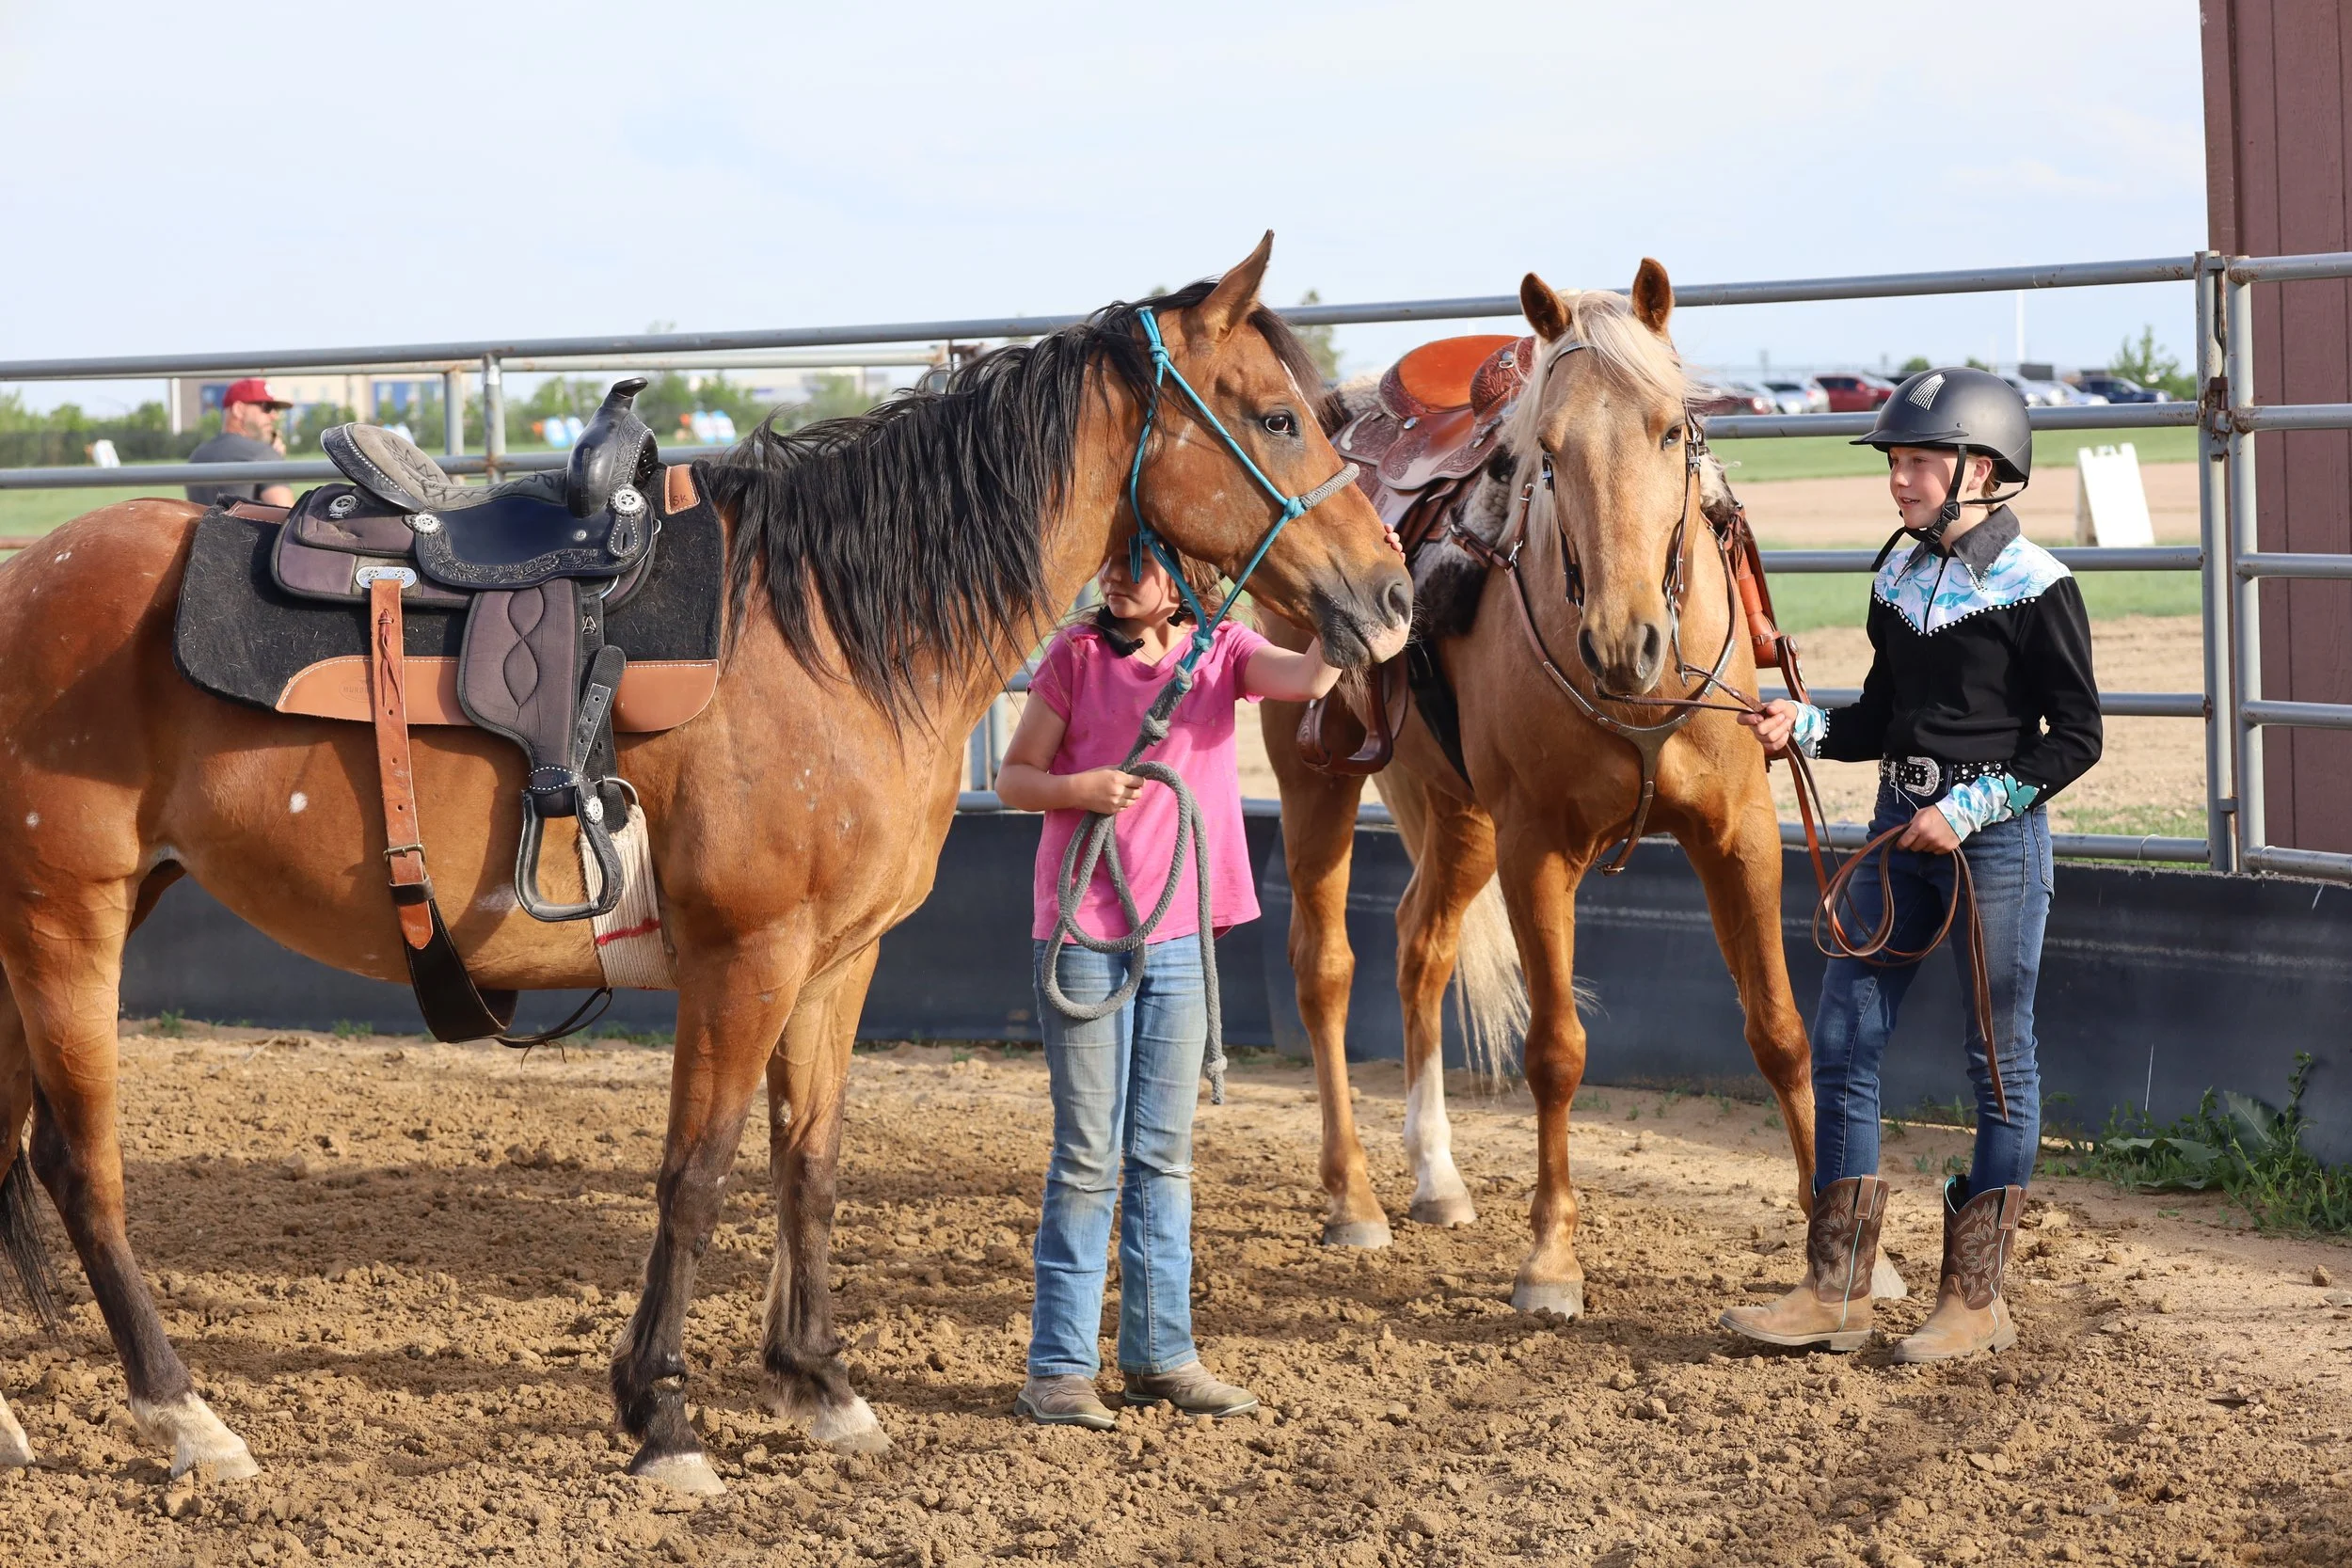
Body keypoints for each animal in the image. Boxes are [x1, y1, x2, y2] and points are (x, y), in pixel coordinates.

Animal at [0, 235, 1412, 1493]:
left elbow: (810, 1161)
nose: (1391, 596)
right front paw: (666, 1418)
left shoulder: (837, 963)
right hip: (66, 920)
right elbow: (699, 1171)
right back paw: (188, 1417)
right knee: (81, 1165)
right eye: (1280, 416)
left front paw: (820, 1384)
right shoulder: (748, 957)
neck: (832, 630)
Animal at [1258, 261, 1858, 1317]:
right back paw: (1353, 1197)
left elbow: (1781, 1030)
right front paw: (1549, 1260)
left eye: (1671, 429)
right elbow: (1555, 1050)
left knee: (1421, 946)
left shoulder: (1738, 831)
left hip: (1456, 814)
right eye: (1545, 451)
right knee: (1323, 966)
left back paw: (1437, 1176)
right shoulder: (1537, 847)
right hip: (1317, 780)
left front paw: (1839, 1253)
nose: (1623, 642)